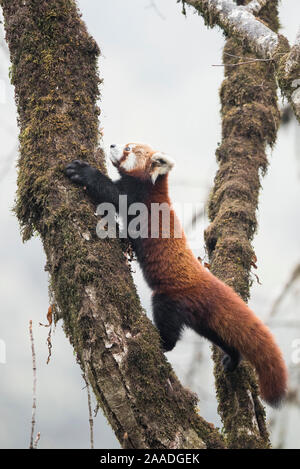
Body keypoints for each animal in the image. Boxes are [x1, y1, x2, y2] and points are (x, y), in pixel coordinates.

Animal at [66, 142, 288, 406]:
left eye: (128, 148)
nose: (111, 144)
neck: (151, 187)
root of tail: (207, 282)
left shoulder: (137, 200)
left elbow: (111, 194)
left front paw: (83, 171)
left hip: (171, 299)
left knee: (169, 327)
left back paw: (162, 342)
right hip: (203, 319)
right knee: (222, 337)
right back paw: (232, 358)